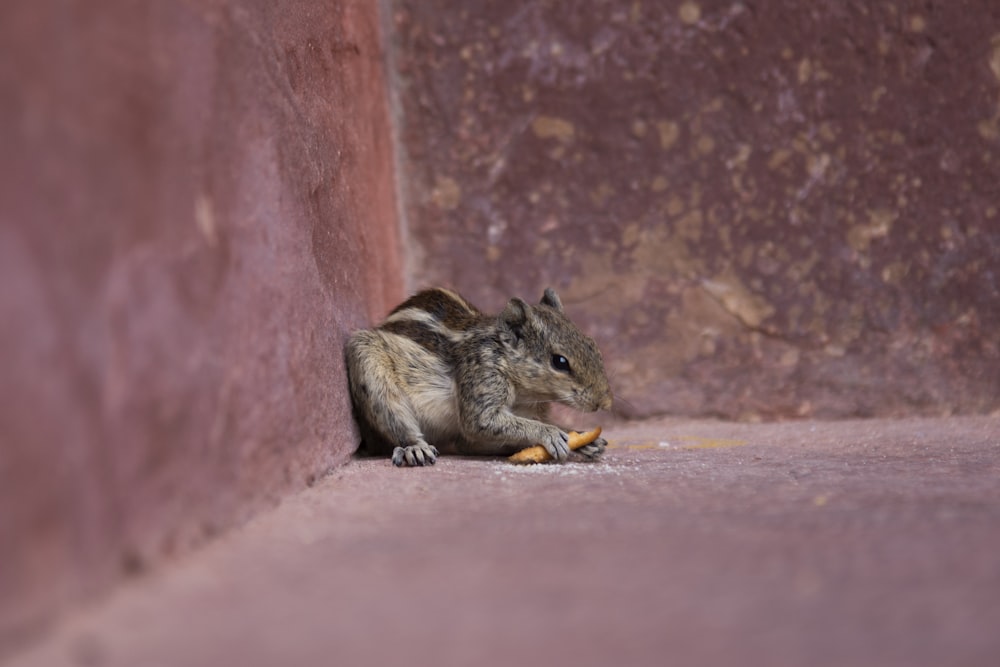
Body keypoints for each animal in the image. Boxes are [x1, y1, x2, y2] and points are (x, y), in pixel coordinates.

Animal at [344, 290, 612, 468]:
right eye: (560, 362)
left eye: (592, 344)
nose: (606, 403)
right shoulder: (482, 376)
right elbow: (483, 421)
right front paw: (551, 433)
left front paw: (582, 438)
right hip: (369, 366)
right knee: (397, 422)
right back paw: (414, 447)